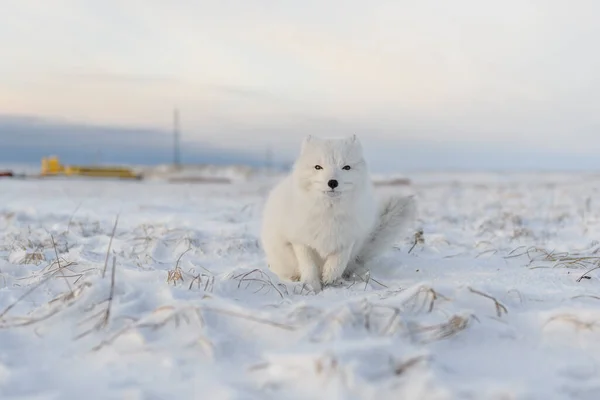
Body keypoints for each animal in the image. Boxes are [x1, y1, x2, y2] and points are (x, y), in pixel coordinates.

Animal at [260, 134, 414, 290]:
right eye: (318, 167)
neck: (329, 212)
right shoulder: (300, 241)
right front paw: (312, 286)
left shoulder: (347, 238)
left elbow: (338, 261)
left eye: (346, 167)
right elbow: (308, 266)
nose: (332, 182)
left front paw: (330, 277)